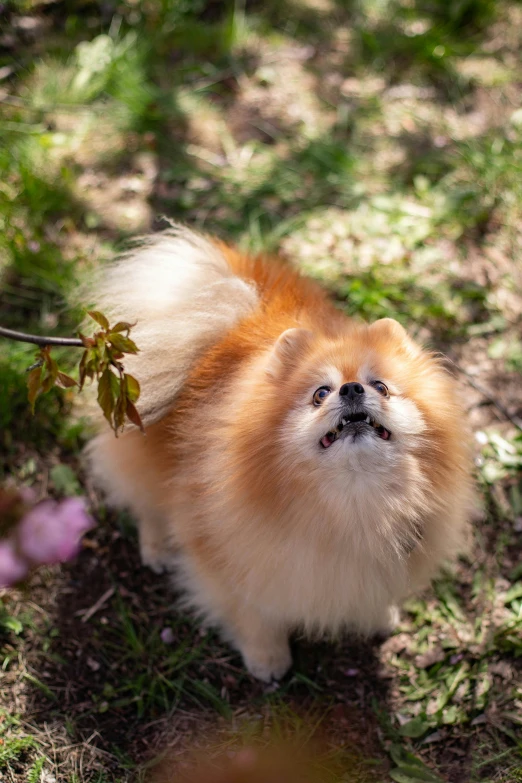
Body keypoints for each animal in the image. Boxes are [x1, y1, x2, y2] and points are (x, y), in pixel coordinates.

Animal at [88, 225, 472, 680]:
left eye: (380, 386)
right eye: (320, 393)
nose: (351, 389)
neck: (356, 503)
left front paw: (380, 617)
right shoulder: (233, 558)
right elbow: (254, 614)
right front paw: (268, 659)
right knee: (147, 504)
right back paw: (158, 548)